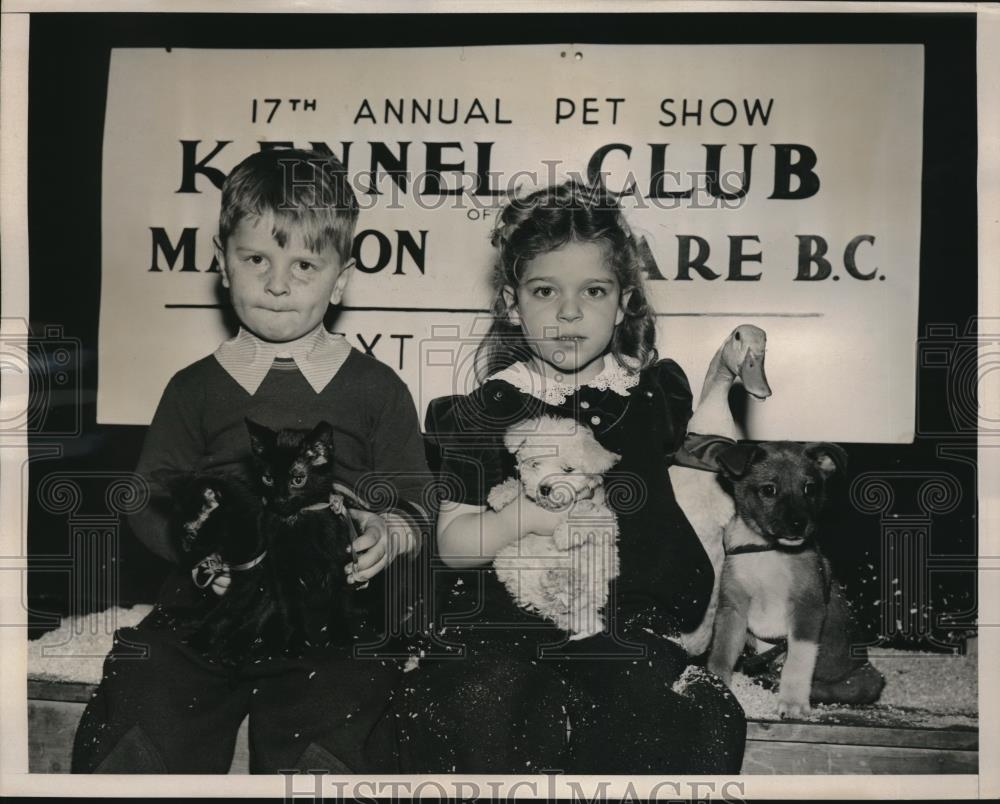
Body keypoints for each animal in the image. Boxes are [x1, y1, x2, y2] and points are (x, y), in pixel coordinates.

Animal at [488, 414, 620, 640]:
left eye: (568, 470)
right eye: (535, 464)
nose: (544, 488)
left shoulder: (606, 520)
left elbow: (587, 513)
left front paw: (563, 535)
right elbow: (519, 487)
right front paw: (502, 493)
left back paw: (564, 583)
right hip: (516, 562)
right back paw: (553, 585)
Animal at [708, 442, 888, 720]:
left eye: (810, 488)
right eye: (768, 490)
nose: (798, 524)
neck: (767, 550)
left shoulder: (808, 608)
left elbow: (797, 661)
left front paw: (792, 703)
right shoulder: (733, 610)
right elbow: (721, 653)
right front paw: (716, 685)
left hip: (866, 679)